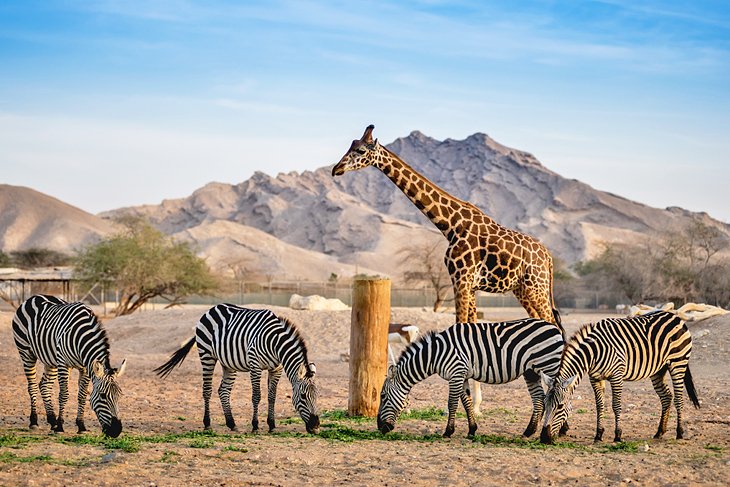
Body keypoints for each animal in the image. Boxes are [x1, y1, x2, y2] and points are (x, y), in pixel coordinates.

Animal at [12, 296, 126, 440]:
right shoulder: (63, 364)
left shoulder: (85, 368)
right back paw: (34, 421)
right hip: (26, 353)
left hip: (50, 360)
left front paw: (81, 426)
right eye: (103, 396)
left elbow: (82, 395)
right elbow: (64, 394)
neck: (81, 338)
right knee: (32, 386)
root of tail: (34, 297)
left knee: (44, 385)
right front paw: (60, 427)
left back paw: (52, 421)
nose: (116, 431)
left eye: (119, 395)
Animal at [155, 304, 320, 434]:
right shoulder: (255, 366)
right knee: (207, 390)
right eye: (303, 396)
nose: (316, 427)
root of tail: (212, 308)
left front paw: (272, 425)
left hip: (228, 364)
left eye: (317, 396)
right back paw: (207, 424)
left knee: (223, 391)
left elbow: (272, 396)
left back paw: (231, 423)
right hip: (206, 355)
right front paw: (255, 426)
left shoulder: (276, 369)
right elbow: (256, 396)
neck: (275, 344)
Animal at [332, 126, 560, 330]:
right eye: (351, 146)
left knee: (553, 323)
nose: (336, 169)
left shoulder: (461, 279)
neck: (451, 225)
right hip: (521, 288)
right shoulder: (469, 284)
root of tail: (548, 258)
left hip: (536, 287)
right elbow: (470, 326)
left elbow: (461, 325)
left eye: (361, 151)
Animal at [376, 320, 564, 438]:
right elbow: (466, 402)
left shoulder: (456, 372)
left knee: (561, 394)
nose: (379, 428)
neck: (436, 354)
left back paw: (560, 430)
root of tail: (554, 327)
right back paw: (529, 431)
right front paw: (472, 430)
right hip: (531, 371)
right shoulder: (462, 375)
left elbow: (452, 403)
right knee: (539, 399)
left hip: (550, 365)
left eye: (383, 396)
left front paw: (448, 432)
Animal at [540, 310, 700, 444]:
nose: (543, 438)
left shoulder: (616, 375)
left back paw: (679, 432)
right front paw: (598, 435)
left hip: (678, 363)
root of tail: (674, 316)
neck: (593, 353)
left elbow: (616, 405)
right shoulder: (595, 378)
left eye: (560, 406)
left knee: (679, 398)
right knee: (667, 396)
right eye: (545, 404)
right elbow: (599, 406)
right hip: (658, 370)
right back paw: (659, 432)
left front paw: (617, 435)